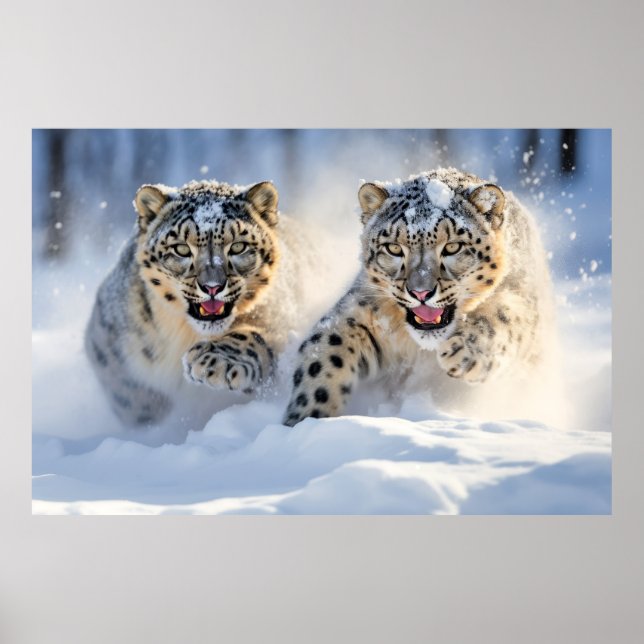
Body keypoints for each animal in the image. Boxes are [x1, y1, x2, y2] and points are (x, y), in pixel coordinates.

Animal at [86, 178, 306, 427]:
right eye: (181, 248)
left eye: (238, 246)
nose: (212, 287)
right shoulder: (105, 339)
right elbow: (128, 394)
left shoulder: (285, 321)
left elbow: (259, 337)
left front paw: (215, 361)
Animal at [283, 167, 555, 426]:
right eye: (393, 248)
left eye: (452, 246)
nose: (420, 292)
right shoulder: (359, 311)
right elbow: (323, 357)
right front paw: (304, 420)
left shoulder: (525, 303)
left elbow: (506, 317)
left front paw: (462, 352)